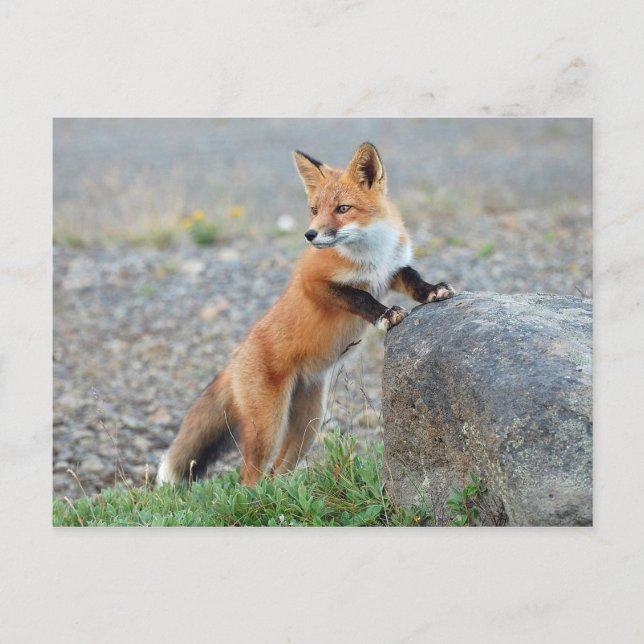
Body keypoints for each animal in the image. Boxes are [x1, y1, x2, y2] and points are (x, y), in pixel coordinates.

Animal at [157, 142, 454, 487]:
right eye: (314, 210)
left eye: (342, 208)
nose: (309, 235)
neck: (370, 255)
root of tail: (235, 356)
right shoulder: (313, 282)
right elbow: (360, 296)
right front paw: (385, 315)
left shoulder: (391, 270)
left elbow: (413, 277)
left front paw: (433, 291)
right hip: (267, 427)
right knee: (250, 478)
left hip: (308, 425)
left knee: (277, 472)